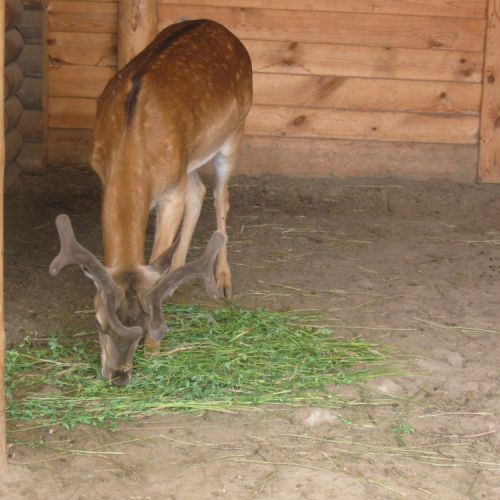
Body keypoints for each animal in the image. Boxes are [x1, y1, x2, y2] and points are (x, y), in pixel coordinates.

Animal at [49, 18, 254, 386]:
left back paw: (223, 282)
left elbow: (161, 246)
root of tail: (223, 29)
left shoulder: (170, 191)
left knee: (221, 198)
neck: (132, 143)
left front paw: (155, 352)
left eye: (148, 323)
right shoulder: (104, 173)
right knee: (198, 190)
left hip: (234, 133)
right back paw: (176, 278)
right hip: (189, 158)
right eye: (98, 320)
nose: (118, 376)